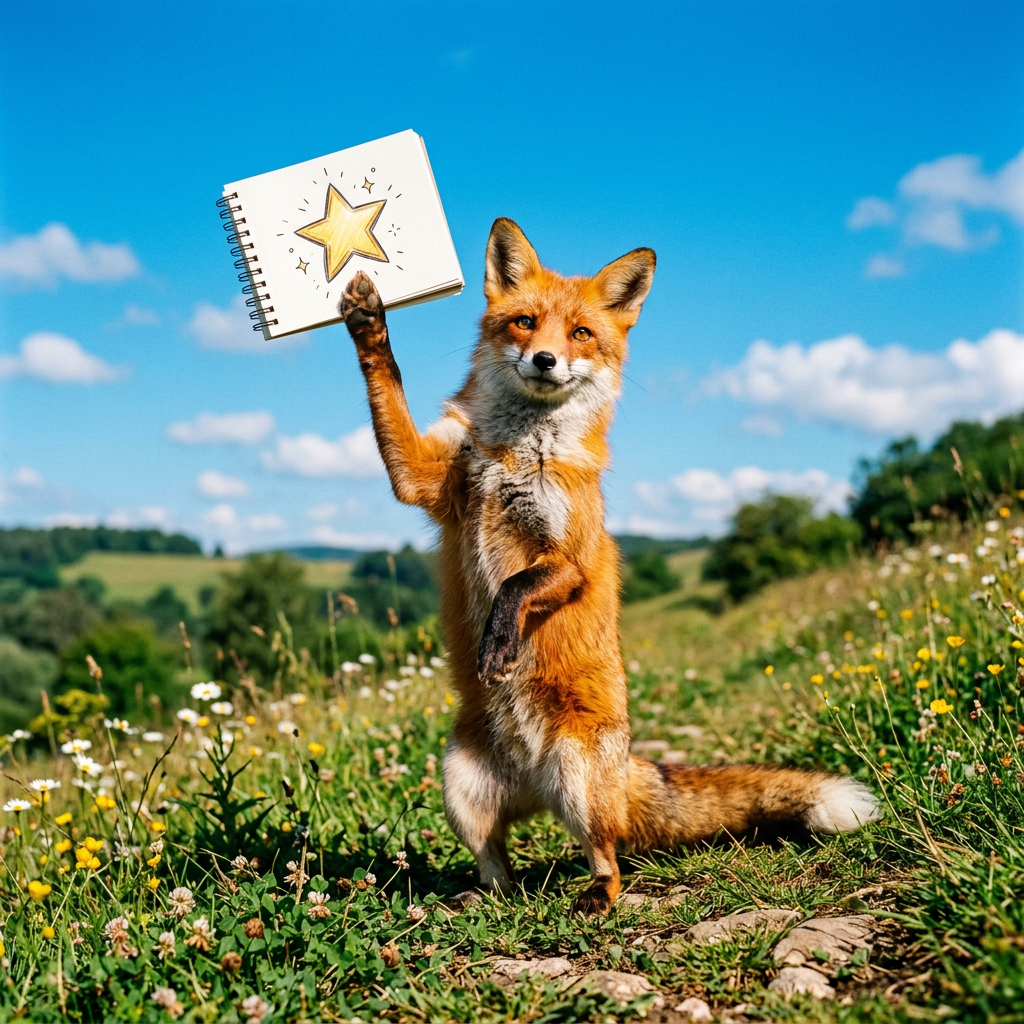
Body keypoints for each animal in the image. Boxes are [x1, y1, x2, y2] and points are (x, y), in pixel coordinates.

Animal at [340, 217, 880, 914]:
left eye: (580, 334)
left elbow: (516, 585)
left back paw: (597, 894)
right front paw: (368, 325)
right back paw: (483, 898)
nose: (544, 360)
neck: (520, 448)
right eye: (524, 323)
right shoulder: (427, 480)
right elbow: (391, 393)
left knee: (607, 854)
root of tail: (539, 788)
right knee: (497, 864)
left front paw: (497, 643)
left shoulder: (570, 555)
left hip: (578, 782)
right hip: (460, 789)